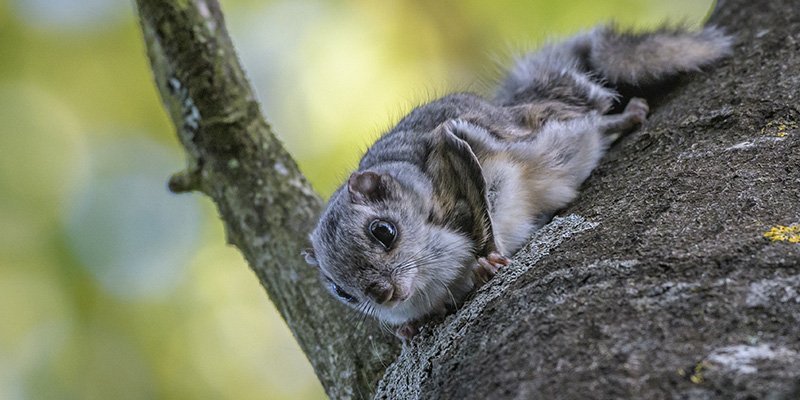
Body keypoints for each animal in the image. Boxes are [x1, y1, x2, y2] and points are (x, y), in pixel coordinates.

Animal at [300, 23, 732, 340]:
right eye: (340, 291)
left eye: (384, 232)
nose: (383, 294)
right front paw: (409, 327)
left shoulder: (453, 149)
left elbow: (481, 214)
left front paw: (486, 262)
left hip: (546, 124)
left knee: (592, 117)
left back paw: (625, 116)